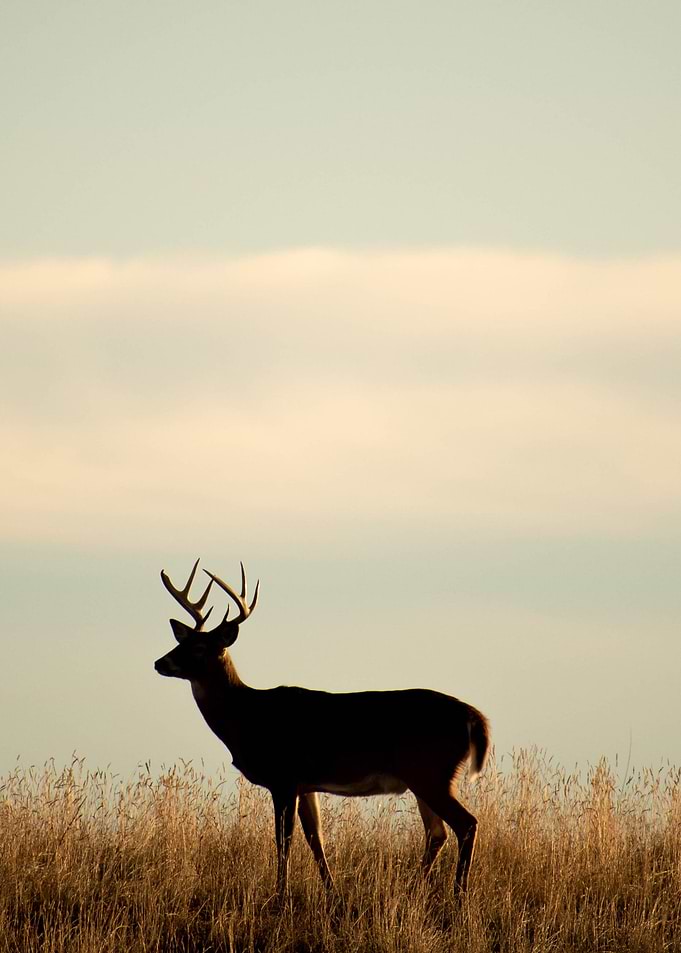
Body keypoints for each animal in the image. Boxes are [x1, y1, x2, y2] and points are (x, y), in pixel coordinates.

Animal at [154, 558, 490, 897]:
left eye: (199, 648)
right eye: (181, 641)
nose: (159, 663)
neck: (248, 716)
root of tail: (474, 716)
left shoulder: (284, 777)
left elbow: (284, 840)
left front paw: (281, 895)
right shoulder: (306, 784)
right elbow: (315, 837)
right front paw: (331, 891)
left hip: (430, 772)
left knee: (466, 824)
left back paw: (458, 893)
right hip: (425, 777)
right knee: (438, 833)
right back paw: (415, 888)